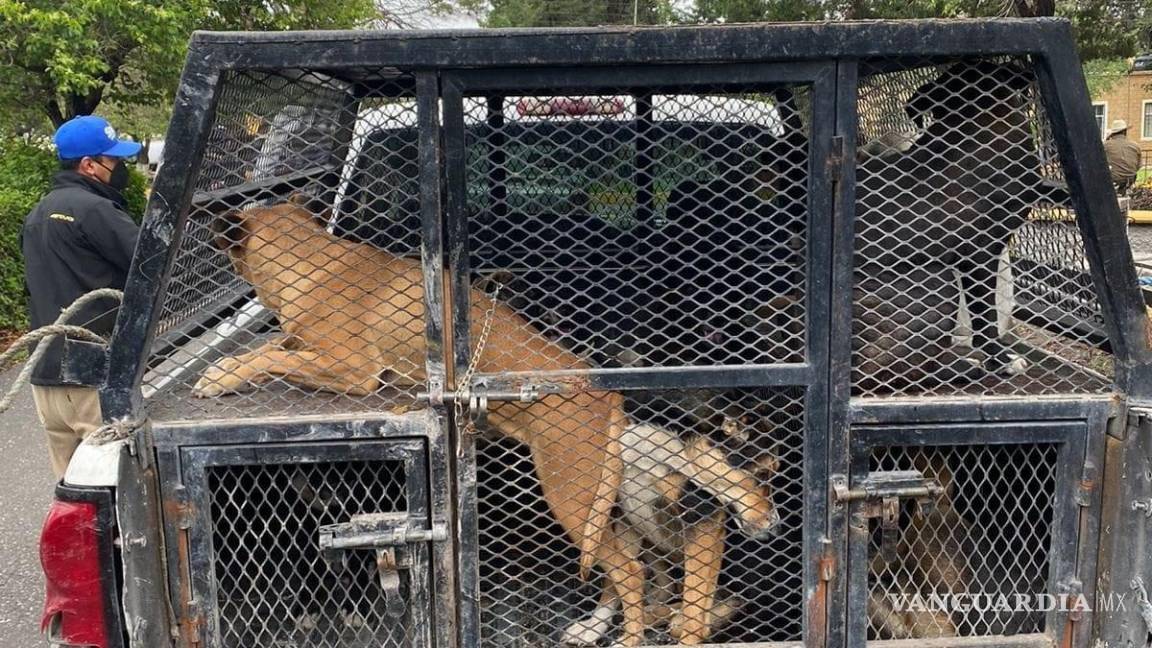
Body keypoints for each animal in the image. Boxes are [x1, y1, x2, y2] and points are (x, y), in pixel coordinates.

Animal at [193, 199, 783, 641]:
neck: (314, 264)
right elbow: (274, 345)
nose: (773, 527)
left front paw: (221, 375)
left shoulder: (350, 368)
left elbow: (270, 354)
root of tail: (604, 392)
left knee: (632, 575)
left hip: (571, 498)